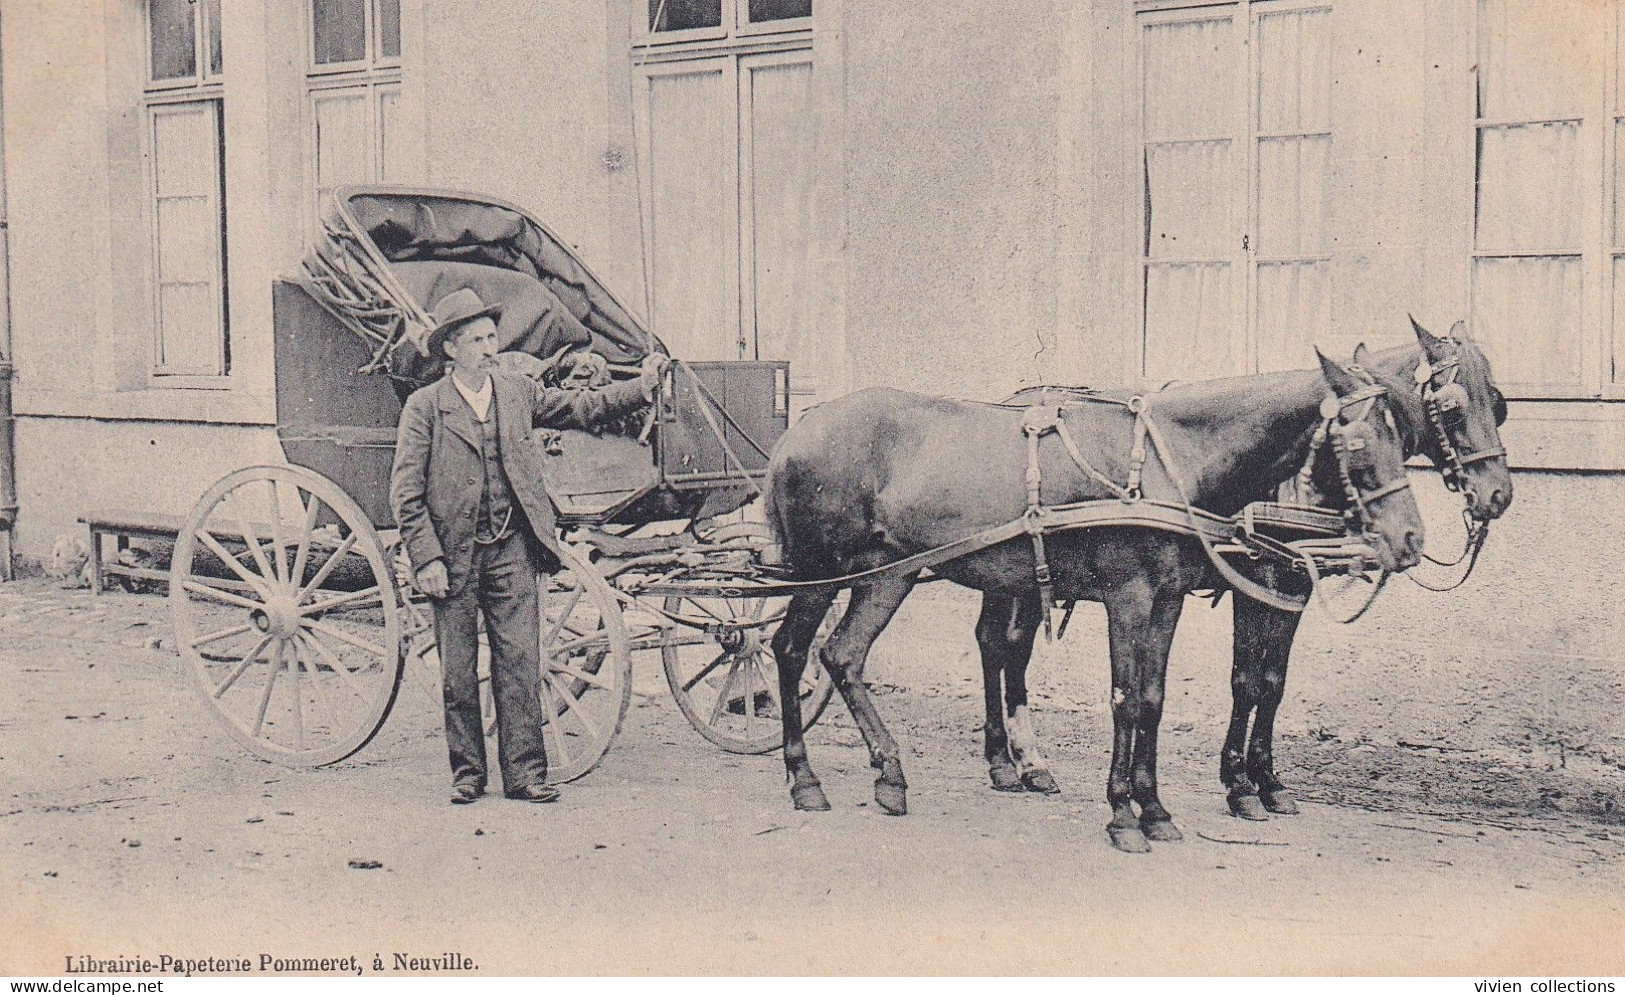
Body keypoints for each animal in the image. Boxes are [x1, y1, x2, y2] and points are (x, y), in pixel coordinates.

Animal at [760, 349, 1423, 845]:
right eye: (1359, 440)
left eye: (1404, 432)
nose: (1411, 539)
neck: (1169, 461)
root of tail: (797, 432)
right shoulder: (1129, 598)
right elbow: (1126, 700)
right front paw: (1124, 814)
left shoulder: (1168, 600)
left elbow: (1153, 699)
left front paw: (1156, 810)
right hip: (821, 574)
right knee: (792, 650)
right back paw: (804, 777)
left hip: (886, 575)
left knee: (843, 656)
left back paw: (890, 775)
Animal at [968, 317, 1514, 816]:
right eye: (1452, 407)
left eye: (1499, 403)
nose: (1498, 494)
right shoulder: (1256, 582)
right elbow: (1246, 681)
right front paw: (1240, 784)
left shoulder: (1293, 587)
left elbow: (1272, 683)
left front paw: (1267, 781)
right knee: (998, 645)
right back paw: (1008, 762)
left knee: (1011, 647)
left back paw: (1026, 763)